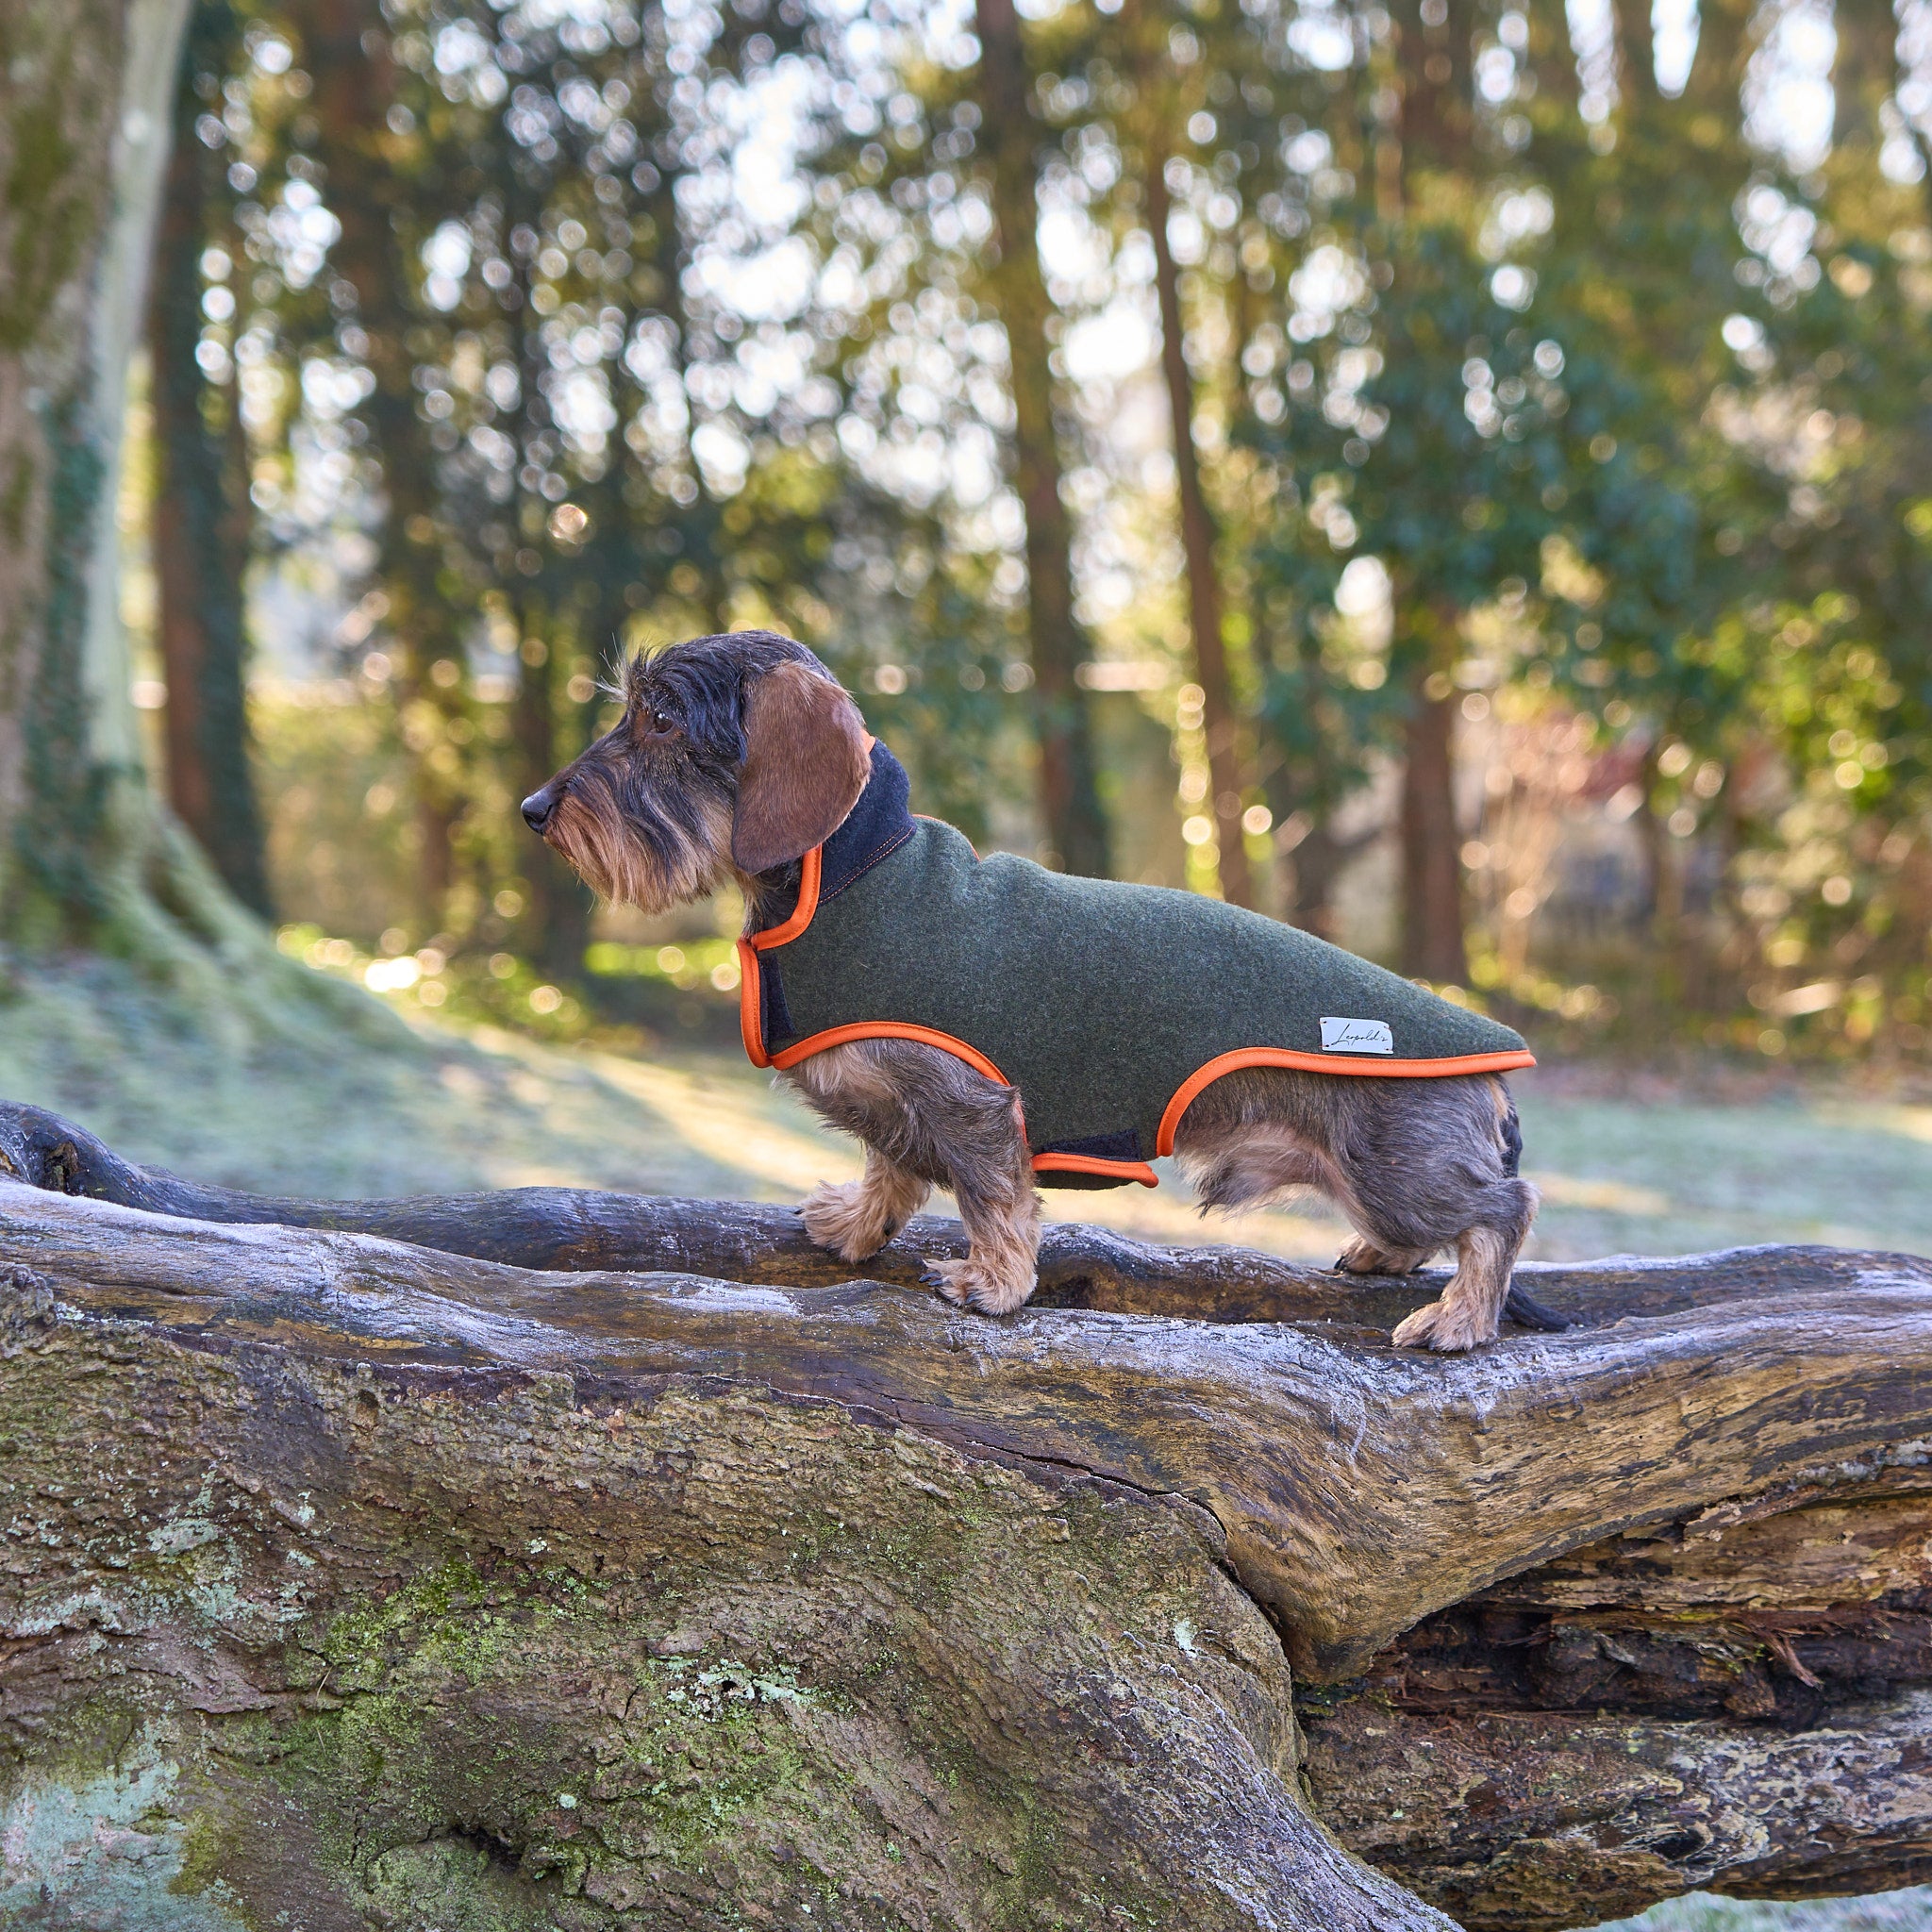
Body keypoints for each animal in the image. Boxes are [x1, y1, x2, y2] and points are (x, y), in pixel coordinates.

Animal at [521, 629, 1545, 1344]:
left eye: (661, 720)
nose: (533, 809)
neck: (852, 872)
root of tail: (1496, 1067)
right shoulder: (899, 1109)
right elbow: (890, 1170)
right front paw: (852, 1224)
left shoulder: (970, 1100)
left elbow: (993, 1197)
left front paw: (992, 1283)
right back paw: (1385, 1258)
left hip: (1394, 1165)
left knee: (1503, 1210)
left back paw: (1459, 1319)